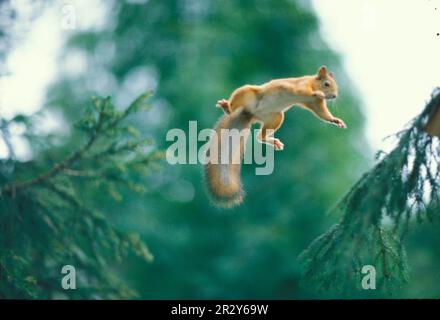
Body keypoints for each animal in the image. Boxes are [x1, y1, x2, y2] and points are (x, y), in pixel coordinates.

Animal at [205, 66, 346, 209]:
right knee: (235, 104)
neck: (312, 83)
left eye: (336, 86)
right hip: (247, 93)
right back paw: (226, 106)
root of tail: (250, 113)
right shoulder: (302, 86)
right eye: (326, 84)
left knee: (259, 136)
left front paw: (335, 120)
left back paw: (271, 141)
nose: (334, 95)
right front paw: (319, 93)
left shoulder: (314, 103)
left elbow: (322, 113)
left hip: (276, 117)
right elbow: (302, 91)